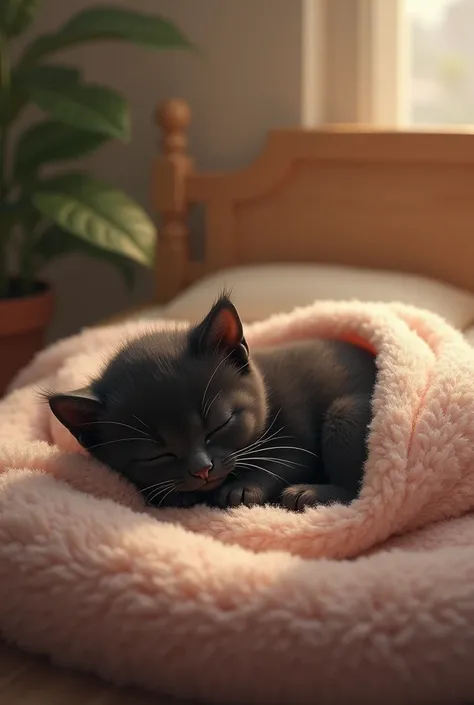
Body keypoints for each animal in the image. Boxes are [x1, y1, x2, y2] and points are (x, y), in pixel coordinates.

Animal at [49, 294, 378, 508]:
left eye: (221, 424)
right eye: (156, 456)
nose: (202, 469)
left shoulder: (298, 437)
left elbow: (283, 463)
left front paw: (243, 489)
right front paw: (175, 494)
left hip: (344, 412)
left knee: (357, 492)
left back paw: (308, 494)